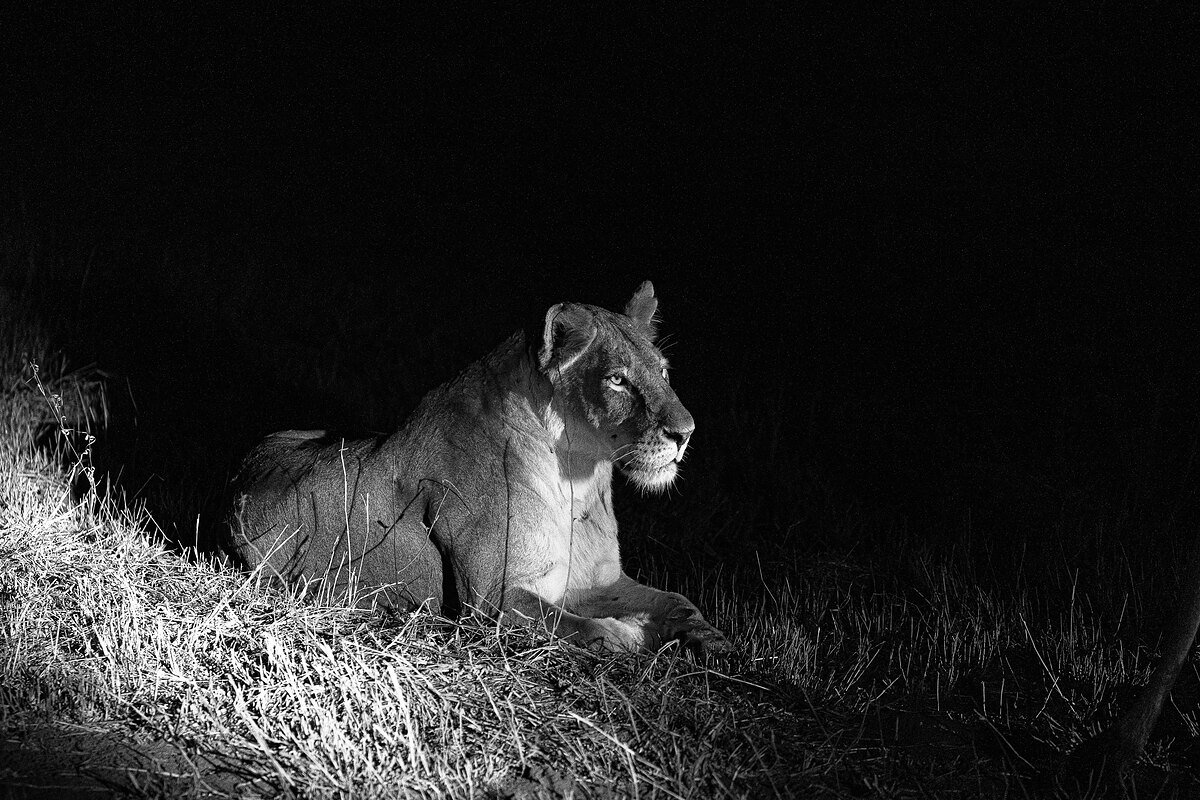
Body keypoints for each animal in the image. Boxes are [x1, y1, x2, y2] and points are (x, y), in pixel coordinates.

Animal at [231, 281, 730, 656]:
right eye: (617, 380)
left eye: (663, 372)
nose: (686, 433)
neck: (577, 481)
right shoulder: (493, 599)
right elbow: (588, 630)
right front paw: (634, 633)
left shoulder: (597, 580)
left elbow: (677, 598)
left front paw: (710, 638)